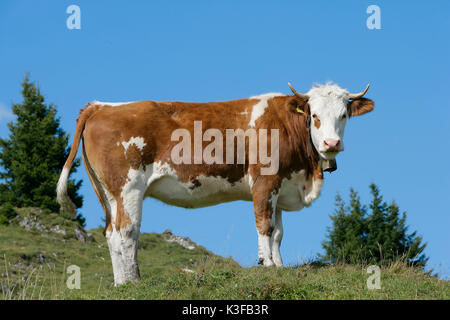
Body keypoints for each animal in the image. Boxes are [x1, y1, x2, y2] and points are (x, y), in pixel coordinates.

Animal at [56, 82, 372, 284]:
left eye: (344, 115)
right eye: (314, 116)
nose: (332, 143)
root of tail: (101, 106)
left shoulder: (283, 186)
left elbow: (279, 233)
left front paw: (280, 267)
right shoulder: (264, 181)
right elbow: (264, 226)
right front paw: (267, 265)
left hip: (106, 192)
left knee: (111, 233)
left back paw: (121, 283)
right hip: (128, 187)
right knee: (126, 232)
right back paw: (134, 281)